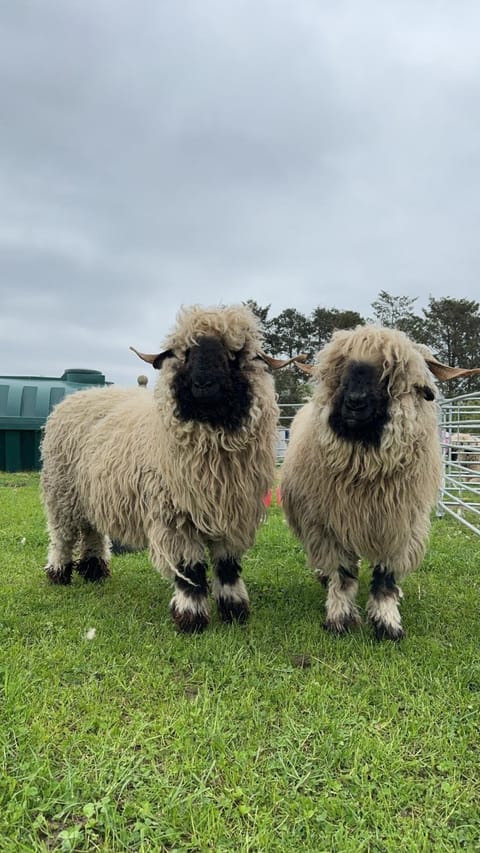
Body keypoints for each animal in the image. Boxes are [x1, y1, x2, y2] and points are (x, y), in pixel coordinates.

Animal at [41, 304, 302, 633]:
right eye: (185, 353)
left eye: (234, 353)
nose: (203, 384)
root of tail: (78, 396)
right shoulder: (173, 515)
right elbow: (189, 567)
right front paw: (191, 617)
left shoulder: (231, 513)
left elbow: (228, 566)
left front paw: (234, 610)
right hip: (61, 492)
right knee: (62, 536)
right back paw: (59, 573)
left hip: (91, 494)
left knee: (91, 531)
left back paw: (94, 571)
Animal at [280, 325, 480, 640]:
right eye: (341, 371)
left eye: (389, 374)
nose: (354, 402)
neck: (365, 470)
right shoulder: (330, 524)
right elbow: (343, 575)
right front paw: (339, 619)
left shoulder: (399, 526)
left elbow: (385, 579)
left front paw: (388, 624)